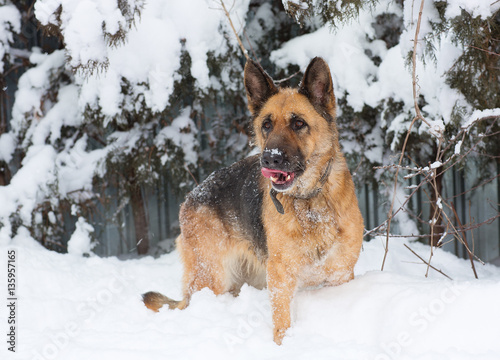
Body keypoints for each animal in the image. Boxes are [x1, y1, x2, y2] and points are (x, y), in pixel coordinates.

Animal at [144, 57, 364, 344]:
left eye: (298, 124)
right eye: (266, 125)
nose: (269, 158)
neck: (308, 200)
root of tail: (191, 196)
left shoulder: (340, 273)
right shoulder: (281, 278)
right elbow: (282, 322)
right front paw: (283, 345)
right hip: (212, 276)